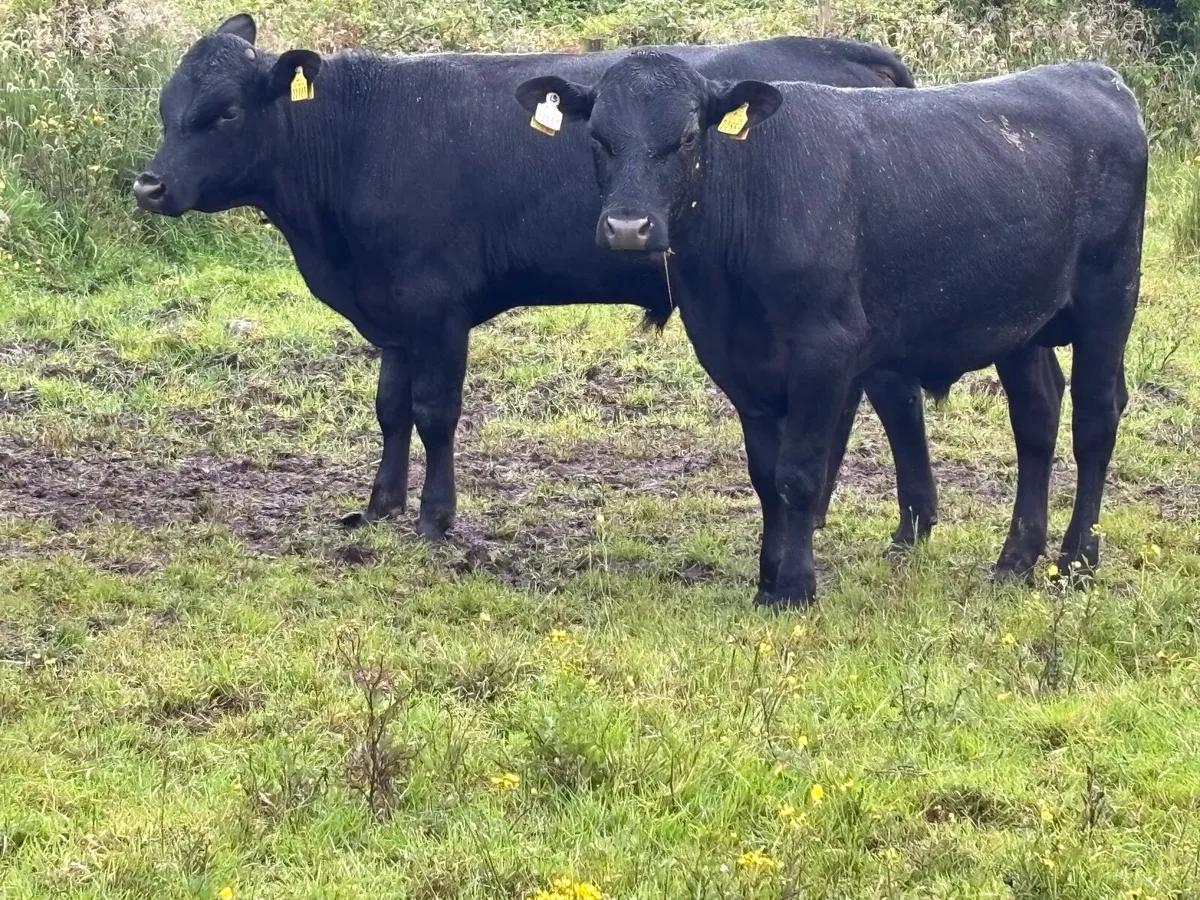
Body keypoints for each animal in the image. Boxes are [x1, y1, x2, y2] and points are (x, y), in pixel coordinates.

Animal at [134, 13, 942, 550]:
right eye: (168, 106)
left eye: (224, 112)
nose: (148, 185)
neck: (360, 139)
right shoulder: (391, 311)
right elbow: (390, 410)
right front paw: (378, 505)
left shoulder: (436, 307)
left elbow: (434, 412)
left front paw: (433, 518)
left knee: (885, 397)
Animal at [514, 52, 1147, 608]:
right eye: (598, 137)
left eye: (689, 137)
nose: (628, 227)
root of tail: (1094, 74)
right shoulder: (737, 361)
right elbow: (765, 476)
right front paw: (767, 583)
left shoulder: (825, 352)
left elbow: (798, 474)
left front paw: (795, 588)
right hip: (1019, 320)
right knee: (1036, 417)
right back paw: (1015, 560)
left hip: (1109, 299)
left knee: (1094, 421)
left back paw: (1077, 562)